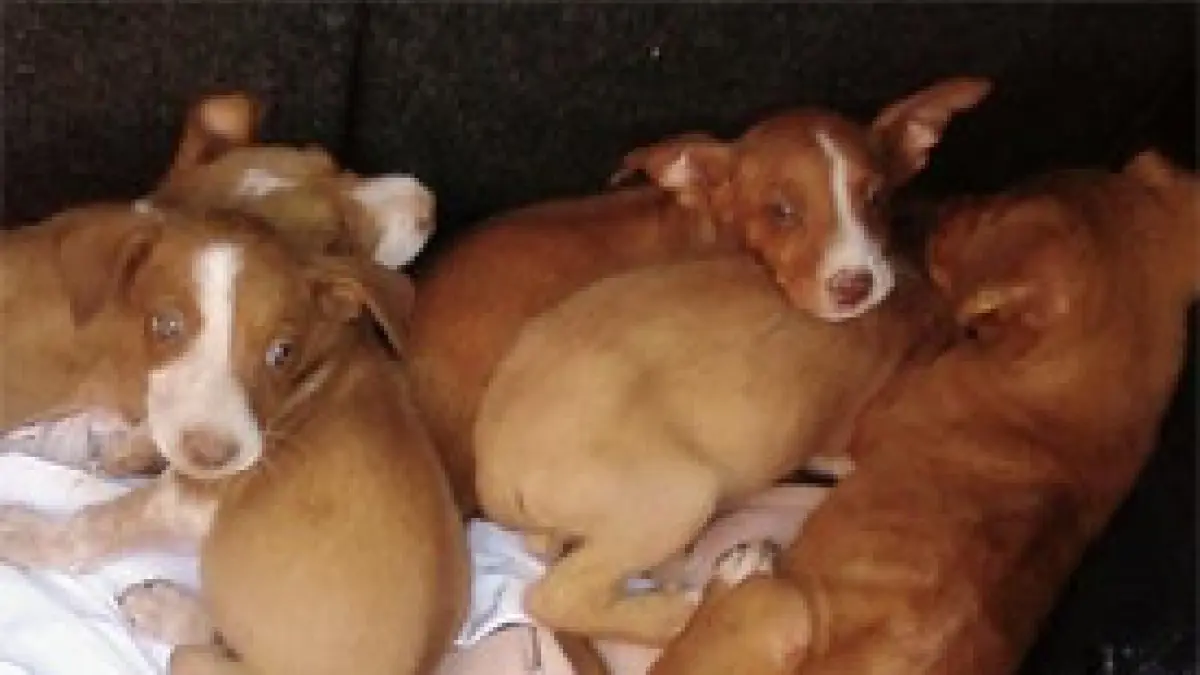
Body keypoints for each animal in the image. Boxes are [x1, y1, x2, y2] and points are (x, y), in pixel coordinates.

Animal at [0, 211, 469, 675]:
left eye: (282, 352)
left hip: (192, 659)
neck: (319, 363)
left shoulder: (191, 498)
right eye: (166, 325)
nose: (212, 456)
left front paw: (27, 535)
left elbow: (97, 524)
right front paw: (135, 449)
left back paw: (165, 611)